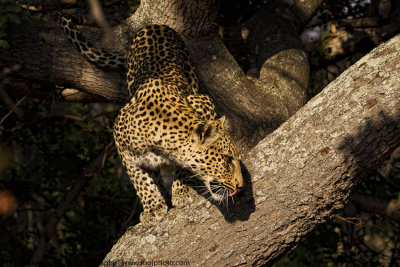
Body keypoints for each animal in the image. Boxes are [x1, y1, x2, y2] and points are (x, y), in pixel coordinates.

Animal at [59, 13, 244, 225]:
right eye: (227, 160)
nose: (240, 186)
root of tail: (153, 26)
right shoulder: (123, 149)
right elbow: (141, 180)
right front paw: (153, 206)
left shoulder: (202, 101)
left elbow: (184, 167)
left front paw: (181, 191)